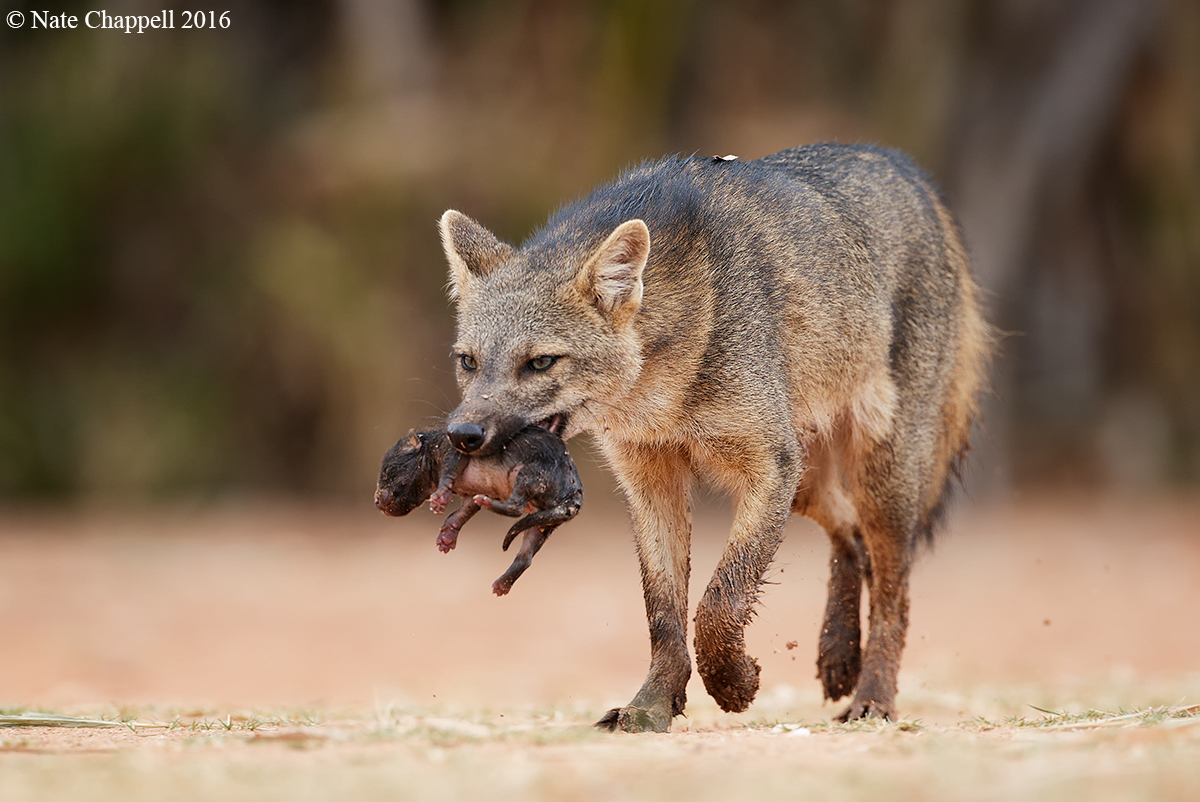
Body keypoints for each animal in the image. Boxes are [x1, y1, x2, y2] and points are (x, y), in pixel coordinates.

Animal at [374, 425, 583, 595]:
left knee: (515, 507)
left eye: (387, 470)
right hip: (544, 520)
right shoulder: (471, 493)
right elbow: (462, 512)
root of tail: (574, 493)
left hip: (529, 473)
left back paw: (488, 502)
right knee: (526, 556)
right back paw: (502, 584)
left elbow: (449, 470)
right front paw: (447, 536)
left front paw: (439, 498)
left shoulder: (453, 450)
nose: (376, 500)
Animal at [436, 143, 991, 732]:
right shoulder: (653, 482)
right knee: (850, 536)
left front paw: (733, 682)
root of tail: (907, 170)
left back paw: (873, 696)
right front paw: (652, 706)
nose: (463, 435)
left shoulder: (767, 465)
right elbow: (663, 614)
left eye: (541, 362)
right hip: (808, 483)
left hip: (876, 477)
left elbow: (720, 601)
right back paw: (838, 654)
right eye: (468, 362)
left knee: (893, 591)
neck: (664, 396)